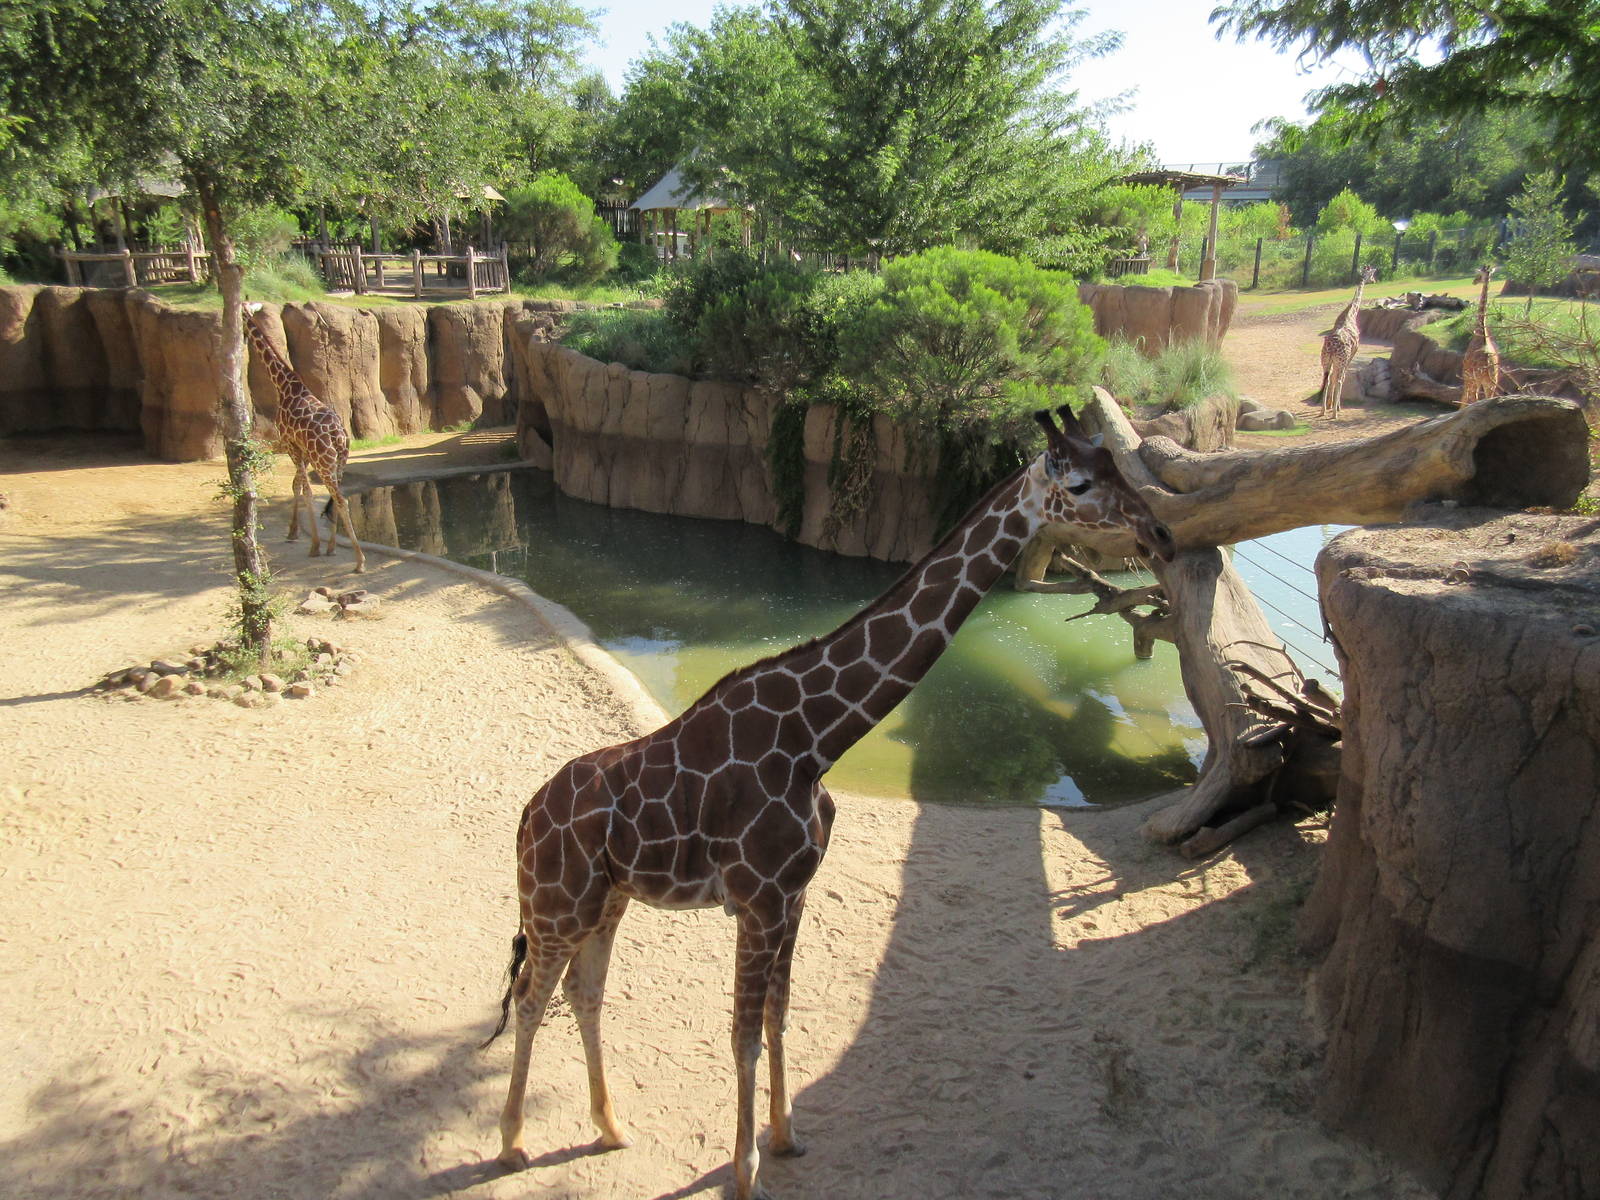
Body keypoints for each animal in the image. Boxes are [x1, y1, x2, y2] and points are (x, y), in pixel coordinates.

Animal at [241, 303, 365, 572]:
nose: (241, 328)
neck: (285, 385)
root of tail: (338, 436)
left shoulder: (291, 445)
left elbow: (304, 489)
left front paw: (313, 544)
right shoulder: (303, 450)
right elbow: (297, 485)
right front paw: (294, 532)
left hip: (324, 461)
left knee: (341, 499)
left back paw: (360, 560)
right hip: (338, 461)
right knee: (337, 496)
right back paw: (333, 547)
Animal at [482, 406, 1175, 1200]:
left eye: (1121, 466)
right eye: (1083, 483)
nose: (1163, 536)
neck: (818, 738)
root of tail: (527, 816)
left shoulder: (795, 896)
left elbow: (778, 1020)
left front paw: (786, 1138)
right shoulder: (758, 901)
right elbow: (742, 1033)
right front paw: (744, 1172)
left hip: (605, 901)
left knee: (583, 993)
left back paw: (610, 1128)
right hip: (556, 903)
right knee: (532, 995)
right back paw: (512, 1144)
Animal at [1319, 264, 1378, 420]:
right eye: (1372, 274)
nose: (1374, 280)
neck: (1350, 314)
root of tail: (1332, 349)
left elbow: (1332, 378)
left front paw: (1330, 405)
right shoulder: (1352, 354)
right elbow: (1343, 378)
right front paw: (1337, 406)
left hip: (1326, 360)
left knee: (1327, 380)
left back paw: (1323, 410)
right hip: (1341, 360)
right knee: (1339, 379)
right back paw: (1335, 413)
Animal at [1460, 263, 1502, 405]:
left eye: (1479, 275)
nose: (1474, 281)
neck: (1480, 332)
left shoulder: (1467, 375)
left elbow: (1465, 398)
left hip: (1474, 379)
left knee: (1471, 399)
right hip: (1492, 382)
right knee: (1487, 399)